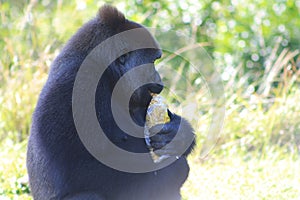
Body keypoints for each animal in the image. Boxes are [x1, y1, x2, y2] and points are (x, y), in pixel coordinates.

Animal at [27, 4, 196, 200]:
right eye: (152, 61)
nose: (159, 80)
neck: (107, 71)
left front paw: (179, 133)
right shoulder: (75, 85)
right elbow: (77, 169)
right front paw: (173, 170)